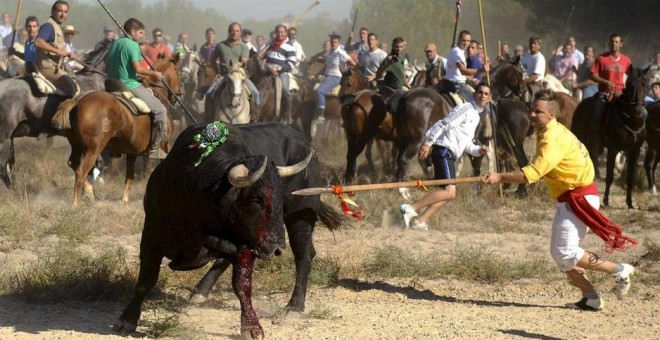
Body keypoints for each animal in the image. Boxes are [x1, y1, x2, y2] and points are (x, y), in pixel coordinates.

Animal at [54, 57, 182, 203]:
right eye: (178, 71)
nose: (179, 93)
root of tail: (77, 101)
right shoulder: (164, 145)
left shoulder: (132, 151)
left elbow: (130, 176)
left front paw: (124, 200)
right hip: (93, 149)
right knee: (81, 172)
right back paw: (76, 203)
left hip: (77, 145)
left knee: (73, 164)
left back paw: (90, 193)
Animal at [114, 122, 348, 338]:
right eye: (257, 199)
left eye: (280, 198)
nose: (276, 248)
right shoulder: (151, 234)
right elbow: (146, 280)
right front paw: (127, 319)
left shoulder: (246, 244)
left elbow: (242, 284)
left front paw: (251, 327)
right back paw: (200, 291)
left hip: (300, 219)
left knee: (304, 255)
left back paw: (294, 306)